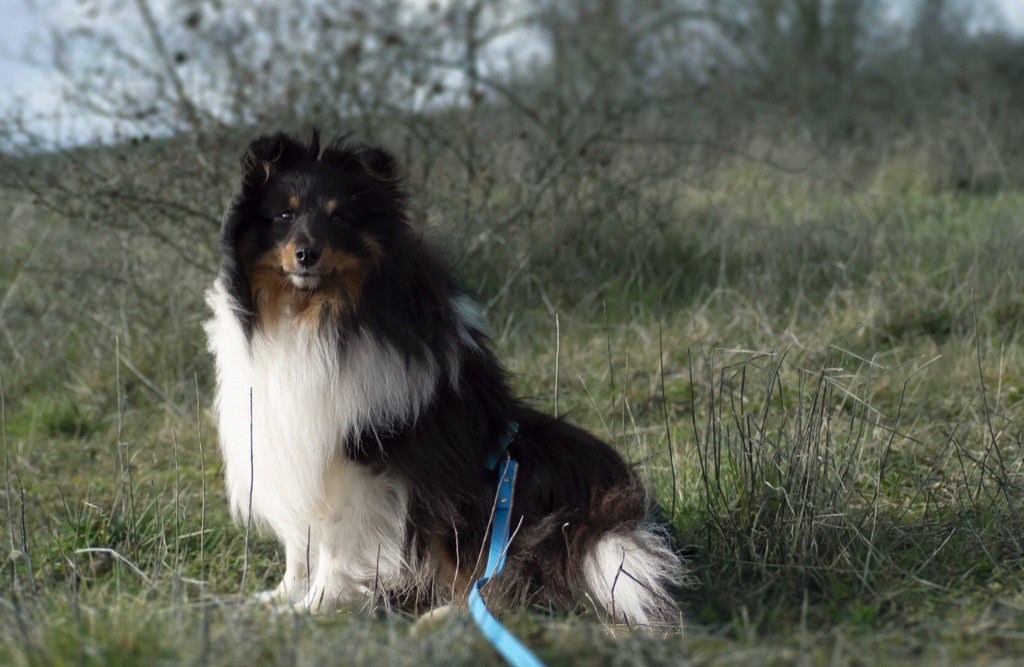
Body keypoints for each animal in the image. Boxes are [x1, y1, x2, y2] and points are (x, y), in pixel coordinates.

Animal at [204, 131, 685, 628]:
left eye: (339, 217)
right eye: (284, 213)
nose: (306, 254)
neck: (312, 314)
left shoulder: (360, 460)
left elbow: (336, 543)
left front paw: (315, 607)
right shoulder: (290, 443)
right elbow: (299, 545)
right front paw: (281, 597)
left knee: (508, 581)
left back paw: (445, 616)